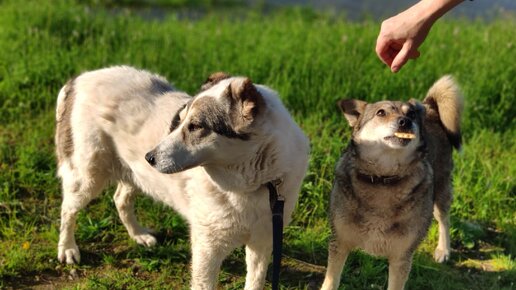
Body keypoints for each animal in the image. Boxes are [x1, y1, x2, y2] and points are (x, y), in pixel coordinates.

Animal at [54, 66, 308, 290]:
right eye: (179, 120)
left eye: (195, 126)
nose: (149, 157)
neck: (253, 186)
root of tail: (78, 79)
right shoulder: (208, 248)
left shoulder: (263, 242)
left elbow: (254, 282)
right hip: (87, 176)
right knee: (67, 209)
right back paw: (67, 249)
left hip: (133, 172)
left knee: (120, 199)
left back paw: (138, 235)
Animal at [322, 76, 464, 288]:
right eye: (381, 113)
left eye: (411, 114)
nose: (406, 122)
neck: (383, 179)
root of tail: (428, 107)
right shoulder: (339, 243)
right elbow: (331, 281)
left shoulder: (401, 257)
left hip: (441, 191)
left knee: (444, 219)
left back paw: (443, 250)